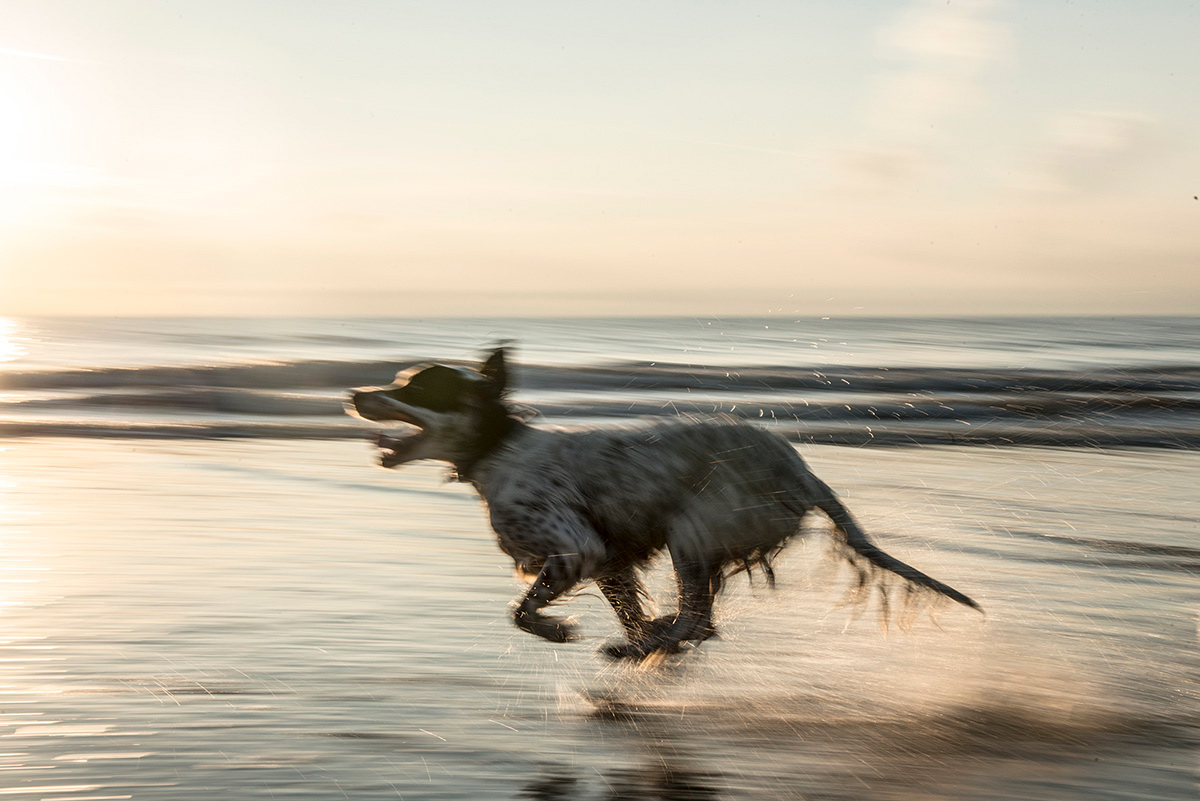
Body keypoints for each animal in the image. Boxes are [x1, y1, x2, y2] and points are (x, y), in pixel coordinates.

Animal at [348, 347, 984, 661]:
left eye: (415, 388)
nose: (355, 392)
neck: (499, 450)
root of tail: (804, 472)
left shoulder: (575, 548)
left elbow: (521, 612)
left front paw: (560, 632)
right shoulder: (609, 560)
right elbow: (625, 607)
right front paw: (639, 634)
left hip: (692, 531)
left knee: (699, 619)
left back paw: (653, 645)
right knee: (699, 620)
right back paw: (655, 644)